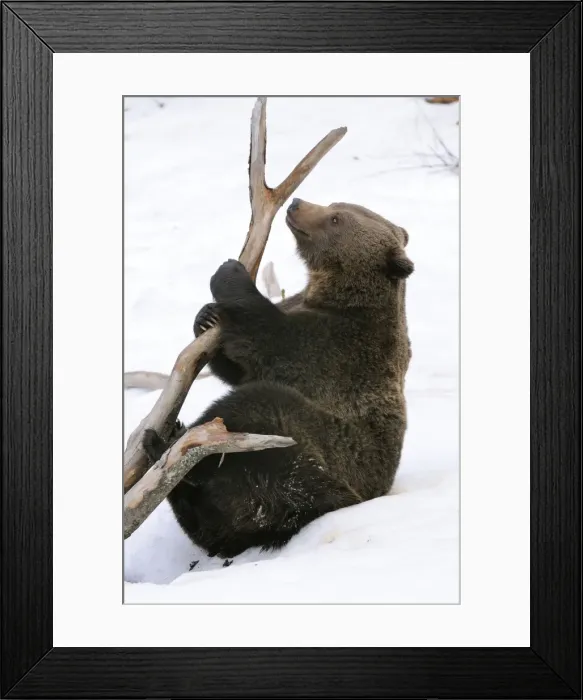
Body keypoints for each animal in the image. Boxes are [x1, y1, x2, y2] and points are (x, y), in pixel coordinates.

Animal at [150, 198, 414, 559]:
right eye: (336, 205)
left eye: (336, 218)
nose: (297, 204)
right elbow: (241, 367)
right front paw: (206, 317)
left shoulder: (334, 346)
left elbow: (266, 338)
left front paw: (230, 272)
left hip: (325, 456)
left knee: (260, 412)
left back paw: (173, 449)